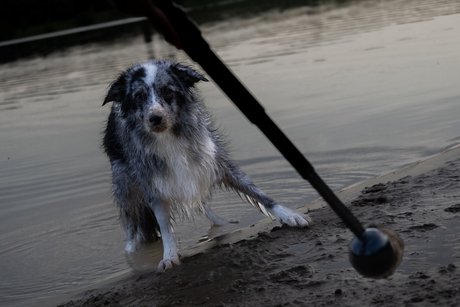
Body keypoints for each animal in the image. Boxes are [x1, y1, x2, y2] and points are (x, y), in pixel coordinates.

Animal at [102, 60, 310, 272]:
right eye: (138, 96)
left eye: (167, 91)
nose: (155, 118)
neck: (168, 137)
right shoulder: (153, 185)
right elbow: (164, 225)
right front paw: (169, 255)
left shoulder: (217, 162)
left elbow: (259, 194)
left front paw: (289, 215)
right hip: (126, 188)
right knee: (131, 229)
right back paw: (131, 253)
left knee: (204, 205)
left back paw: (222, 223)